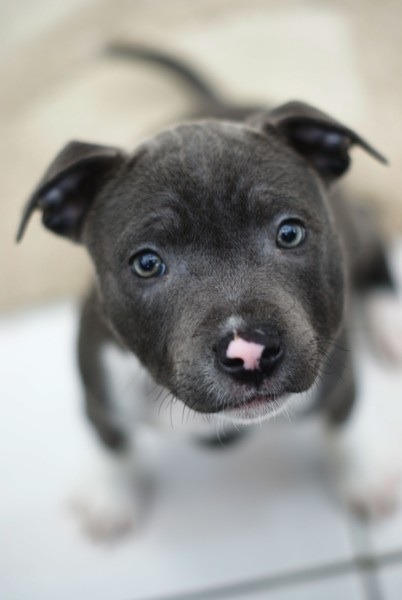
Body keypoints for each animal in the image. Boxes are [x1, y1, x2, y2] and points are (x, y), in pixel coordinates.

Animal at [17, 44, 402, 536]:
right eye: (147, 263)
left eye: (290, 233)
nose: (249, 352)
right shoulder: (96, 391)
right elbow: (112, 441)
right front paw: (111, 492)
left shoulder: (336, 367)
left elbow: (343, 418)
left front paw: (362, 473)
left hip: (356, 228)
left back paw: (390, 322)